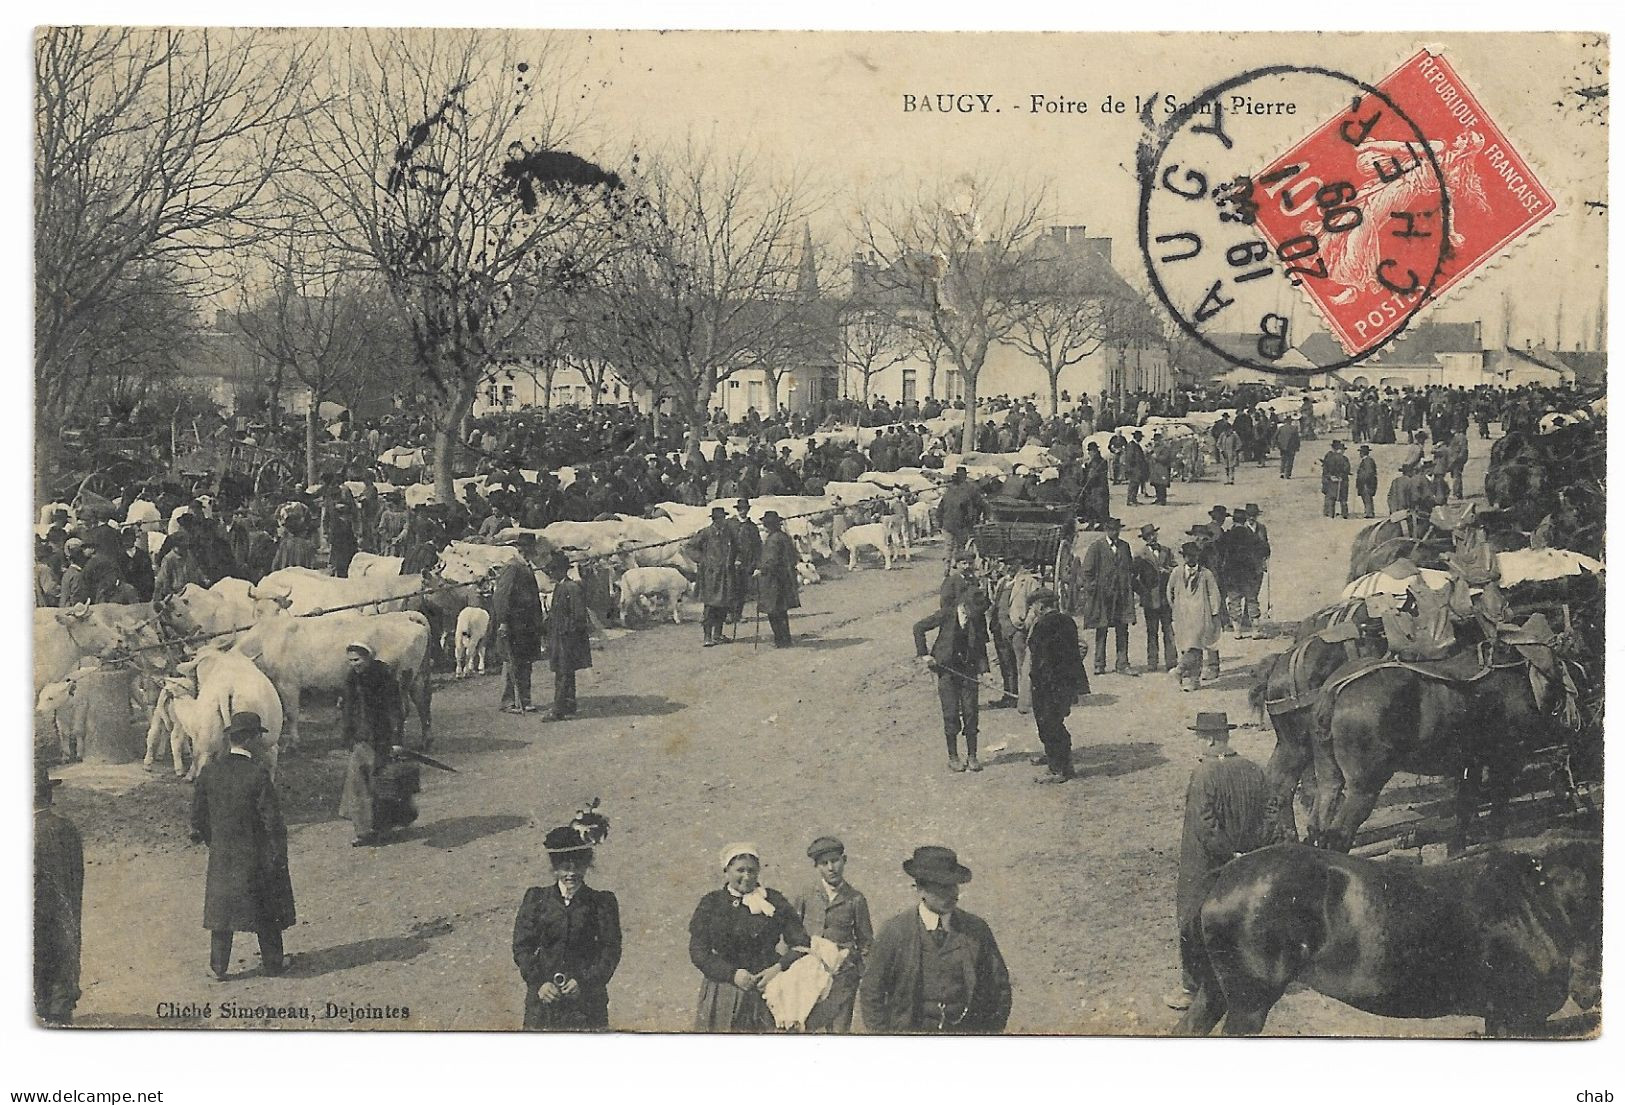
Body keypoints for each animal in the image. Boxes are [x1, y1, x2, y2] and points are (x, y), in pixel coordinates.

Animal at [229, 607, 435, 747]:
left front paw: (293, 743)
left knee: (402, 709)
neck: (266, 641)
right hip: (417, 676)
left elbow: (292, 714)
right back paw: (425, 740)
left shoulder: (289, 684)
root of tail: (407, 615)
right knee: (422, 703)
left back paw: (397, 742)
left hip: (400, 678)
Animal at [1176, 838, 1605, 1040]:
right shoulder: (1517, 1016)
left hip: (1216, 994)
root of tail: (1224, 873)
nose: (1590, 992)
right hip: (1248, 1005)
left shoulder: (1502, 1017)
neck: (1536, 899)